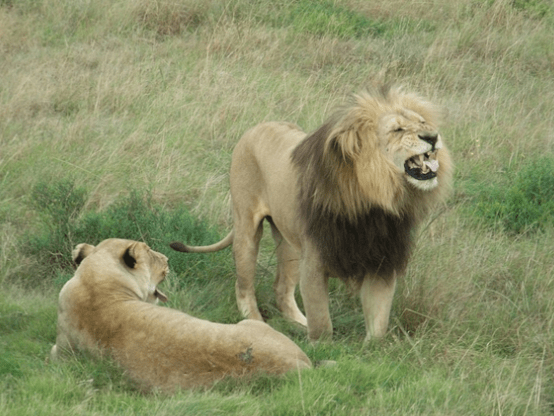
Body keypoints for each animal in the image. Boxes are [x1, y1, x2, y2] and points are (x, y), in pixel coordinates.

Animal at [50, 239, 310, 392]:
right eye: (151, 253)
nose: (167, 258)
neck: (96, 281)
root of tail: (300, 364)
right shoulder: (61, 351)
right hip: (249, 322)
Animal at [170, 85, 450, 342]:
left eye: (422, 122)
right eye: (397, 130)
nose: (433, 136)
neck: (375, 201)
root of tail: (255, 128)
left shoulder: (382, 260)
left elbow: (378, 323)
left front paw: (372, 351)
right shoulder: (316, 259)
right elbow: (322, 321)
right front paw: (323, 347)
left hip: (289, 242)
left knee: (282, 289)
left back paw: (298, 324)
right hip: (247, 227)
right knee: (243, 284)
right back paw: (257, 323)